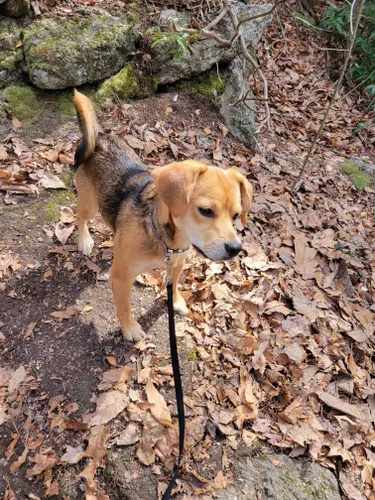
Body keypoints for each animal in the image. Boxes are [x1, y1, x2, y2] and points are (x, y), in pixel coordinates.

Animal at [72, 89, 253, 340]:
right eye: (206, 211)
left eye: (236, 215)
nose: (236, 249)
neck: (167, 239)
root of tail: (98, 138)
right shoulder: (120, 276)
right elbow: (124, 307)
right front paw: (130, 328)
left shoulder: (177, 263)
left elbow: (174, 284)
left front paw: (175, 302)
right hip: (90, 204)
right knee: (80, 217)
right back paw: (85, 241)